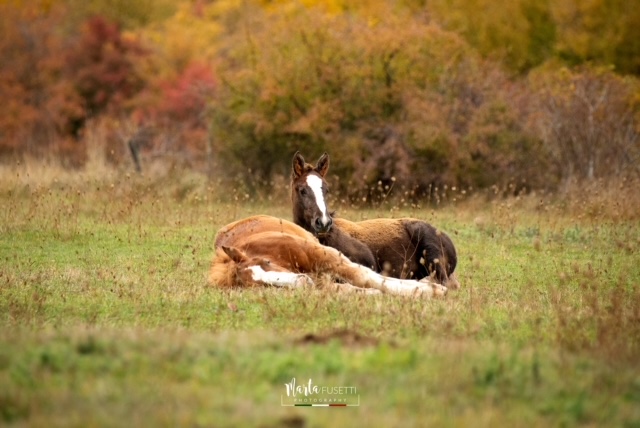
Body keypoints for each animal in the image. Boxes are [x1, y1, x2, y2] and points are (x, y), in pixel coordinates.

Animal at [208, 214, 448, 298]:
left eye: (266, 262)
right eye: (261, 285)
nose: (302, 281)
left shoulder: (324, 255)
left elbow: (365, 277)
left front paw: (431, 290)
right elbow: (353, 289)